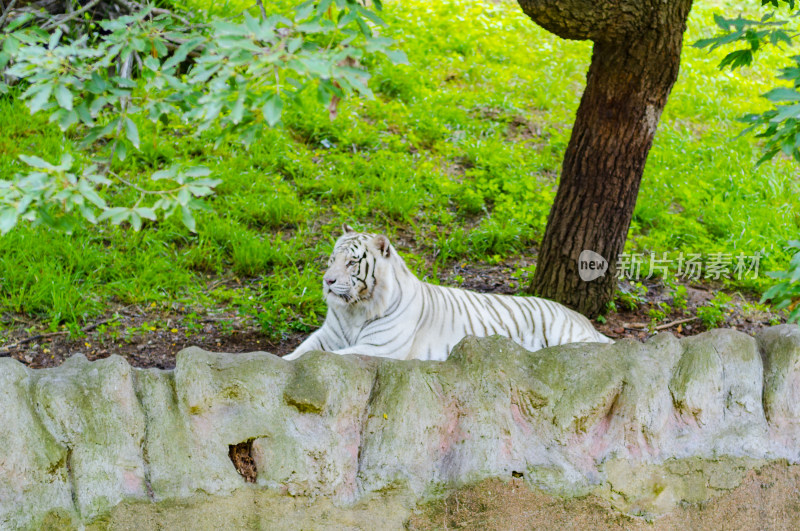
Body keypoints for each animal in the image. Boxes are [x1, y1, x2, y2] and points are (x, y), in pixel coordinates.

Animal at [284, 227, 616, 364]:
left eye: (352, 262)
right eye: (332, 259)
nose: (327, 281)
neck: (354, 309)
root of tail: (585, 320)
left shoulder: (379, 348)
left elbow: (326, 357)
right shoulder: (327, 336)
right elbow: (299, 353)